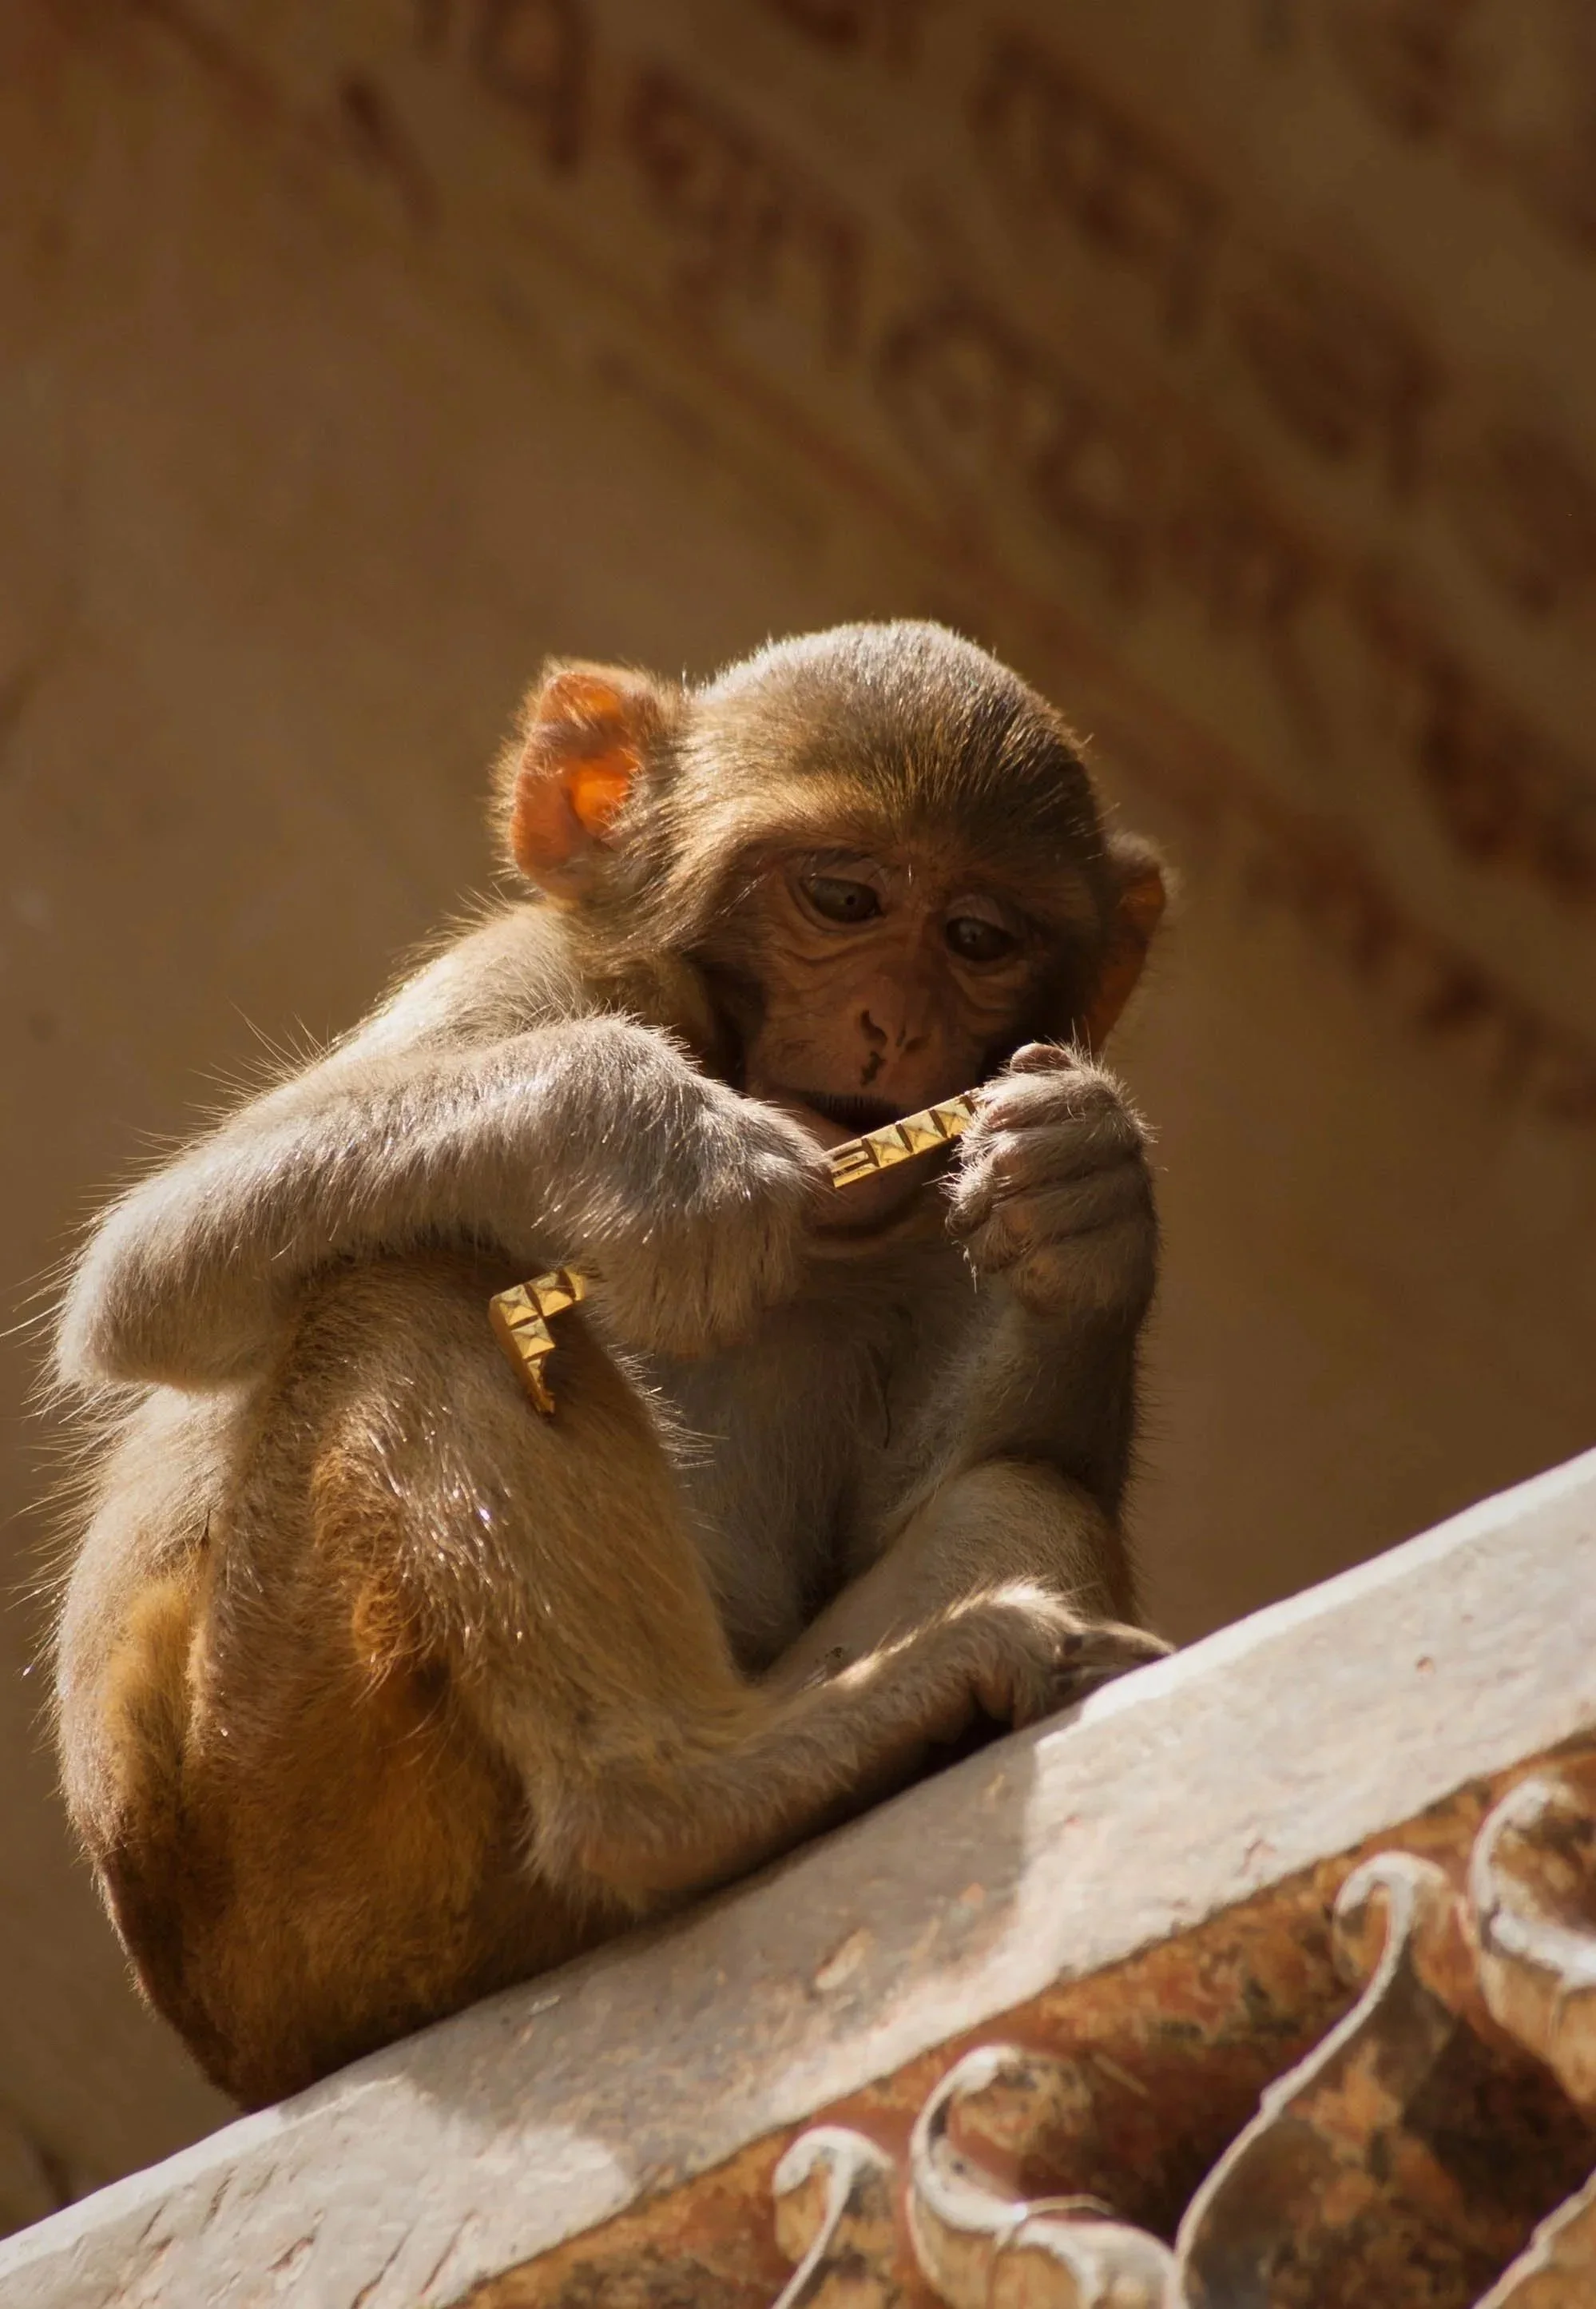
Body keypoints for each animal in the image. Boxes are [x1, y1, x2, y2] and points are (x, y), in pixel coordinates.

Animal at [50, 620, 1172, 2109]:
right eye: (841, 898)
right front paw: (647, 1144)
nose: (892, 1024)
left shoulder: (929, 1208)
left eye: (977, 938)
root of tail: (247, 2042)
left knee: (1022, 1489)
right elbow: (151, 1275)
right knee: (416, 1280)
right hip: (291, 1829)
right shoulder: (517, 984)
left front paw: (1089, 1190)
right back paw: (673, 1801)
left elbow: (960, 1463)